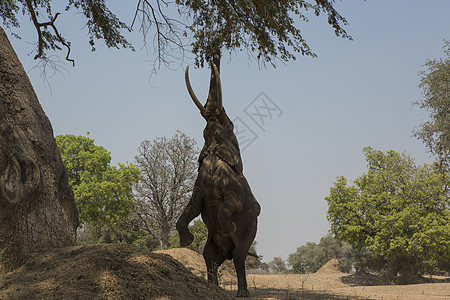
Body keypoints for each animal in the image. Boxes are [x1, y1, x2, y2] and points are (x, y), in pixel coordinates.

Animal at [176, 61, 260, 298]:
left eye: (229, 126)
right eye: (204, 132)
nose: (212, 115)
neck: (215, 155)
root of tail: (226, 252)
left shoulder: (235, 188)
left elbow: (228, 207)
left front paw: (230, 228)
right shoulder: (199, 184)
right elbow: (191, 208)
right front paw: (186, 241)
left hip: (249, 232)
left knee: (239, 256)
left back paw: (242, 293)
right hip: (212, 246)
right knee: (209, 258)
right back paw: (212, 287)